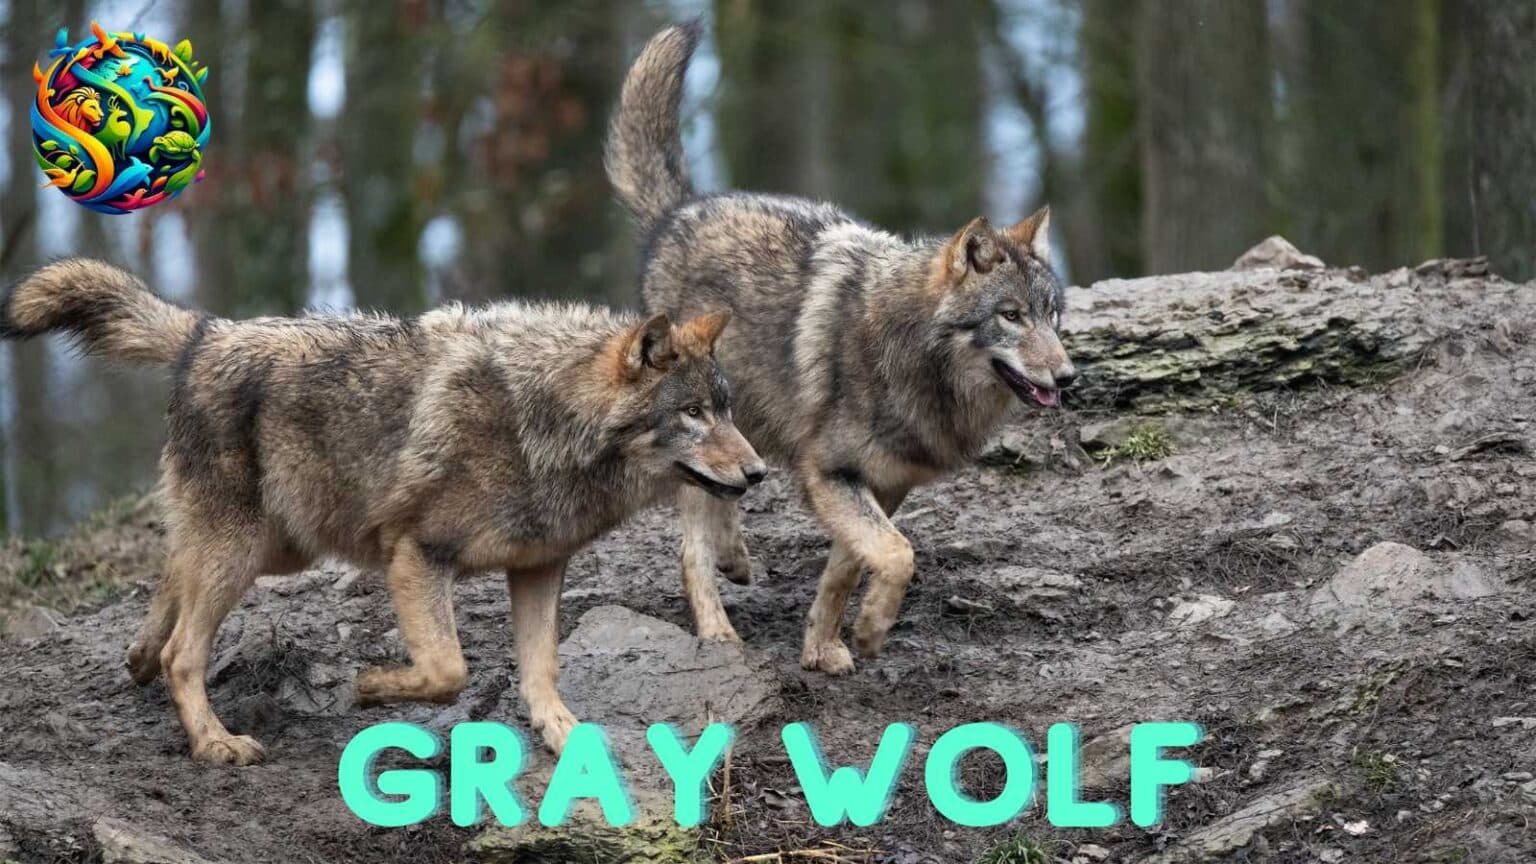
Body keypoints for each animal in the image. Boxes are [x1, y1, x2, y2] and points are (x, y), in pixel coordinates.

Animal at [1, 259, 764, 764]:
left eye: (726, 410)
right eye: (693, 415)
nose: (758, 472)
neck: (543, 421)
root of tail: (207, 332)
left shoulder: (539, 567)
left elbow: (541, 668)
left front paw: (562, 733)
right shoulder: (417, 555)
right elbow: (448, 671)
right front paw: (370, 691)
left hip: (278, 546)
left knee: (170, 580)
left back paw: (138, 661)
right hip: (248, 551)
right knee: (184, 651)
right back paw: (216, 743)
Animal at [606, 24, 1075, 674]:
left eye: (1053, 318)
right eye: (1011, 316)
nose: (1068, 376)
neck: (910, 356)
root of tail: (679, 211)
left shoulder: (885, 484)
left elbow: (849, 569)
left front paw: (824, 646)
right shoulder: (829, 475)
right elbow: (899, 555)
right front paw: (873, 631)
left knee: (725, 498)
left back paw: (737, 560)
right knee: (690, 548)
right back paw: (719, 632)